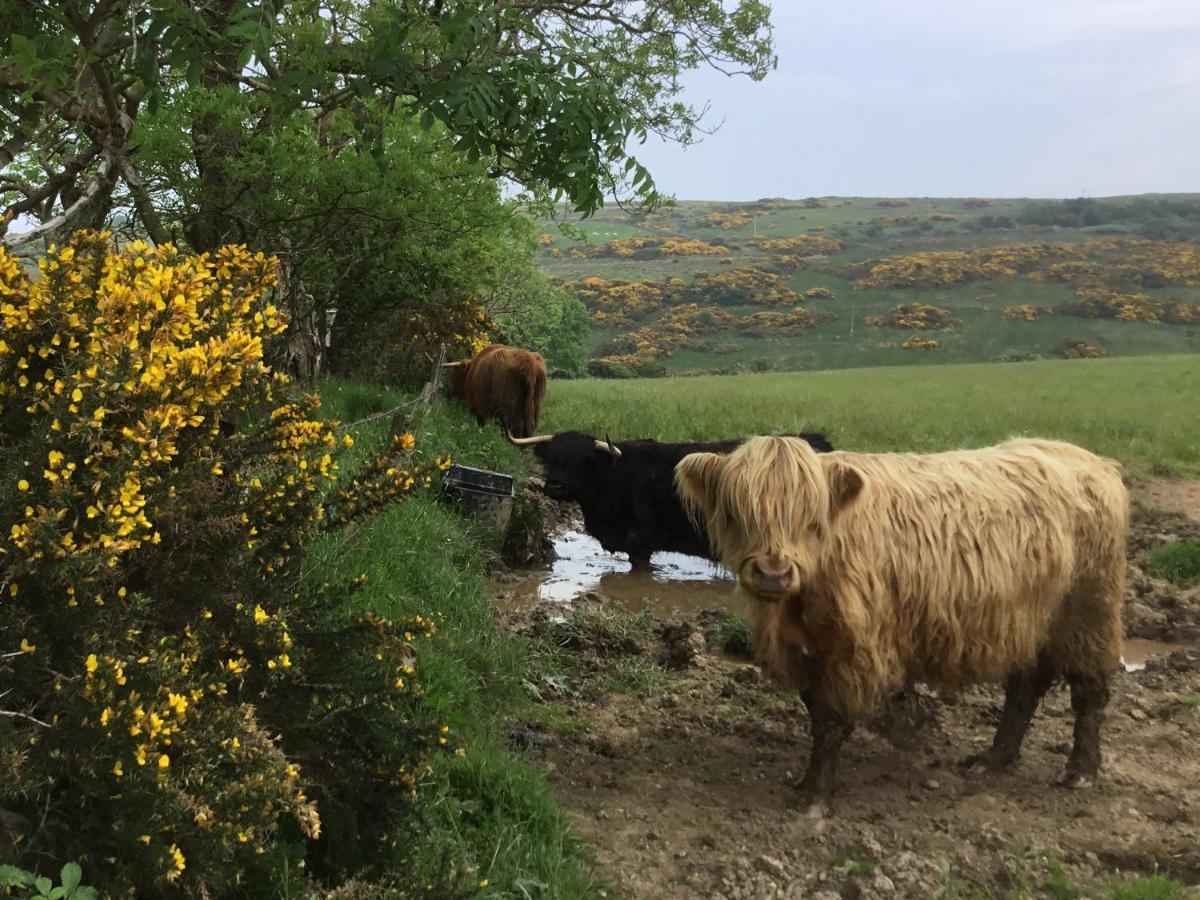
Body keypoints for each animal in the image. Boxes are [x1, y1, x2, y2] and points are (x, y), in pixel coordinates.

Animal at [681, 439, 1128, 816]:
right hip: (1029, 622)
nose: (774, 573)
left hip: (1089, 613)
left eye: (812, 519)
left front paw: (816, 796)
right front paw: (809, 783)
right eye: (737, 512)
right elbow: (816, 711)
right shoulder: (808, 651)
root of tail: (1091, 460)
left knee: (1088, 690)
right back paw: (993, 760)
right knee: (1025, 686)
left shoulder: (855, 651)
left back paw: (1079, 771)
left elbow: (831, 722)